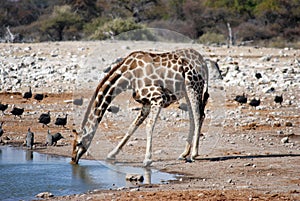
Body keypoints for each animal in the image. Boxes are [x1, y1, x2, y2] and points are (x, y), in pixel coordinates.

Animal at [71, 47, 210, 166]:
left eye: (78, 143)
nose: (73, 159)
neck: (128, 76)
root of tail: (204, 64)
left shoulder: (158, 97)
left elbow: (149, 126)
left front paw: (147, 159)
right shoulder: (146, 103)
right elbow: (132, 127)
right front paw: (111, 154)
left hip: (193, 87)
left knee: (198, 116)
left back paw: (194, 154)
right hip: (187, 92)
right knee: (194, 117)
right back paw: (184, 154)